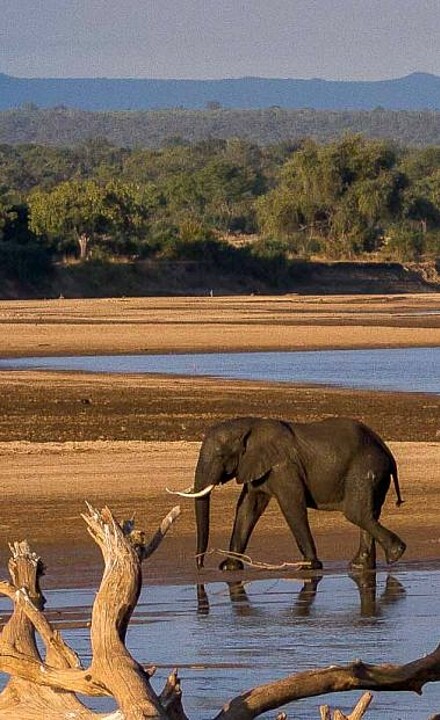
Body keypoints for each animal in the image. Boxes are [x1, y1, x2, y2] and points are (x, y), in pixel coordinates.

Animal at [169, 414, 406, 572]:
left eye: (220, 455)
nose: (200, 565)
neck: (249, 426)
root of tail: (388, 452)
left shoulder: (283, 467)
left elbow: (291, 505)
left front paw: (309, 566)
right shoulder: (257, 468)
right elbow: (247, 508)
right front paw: (229, 567)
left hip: (365, 469)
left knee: (356, 513)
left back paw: (395, 554)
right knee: (368, 513)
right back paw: (360, 566)